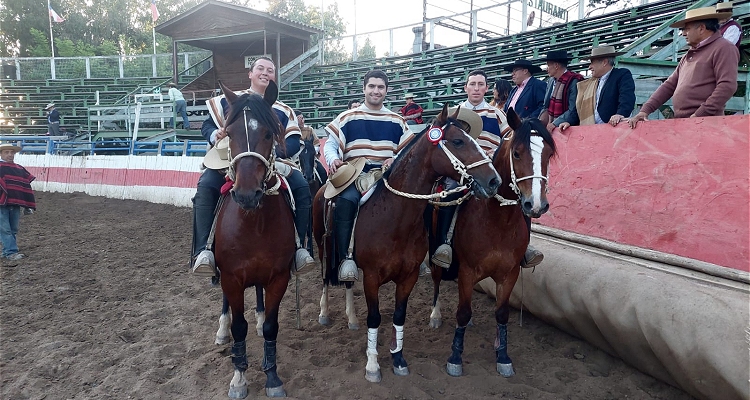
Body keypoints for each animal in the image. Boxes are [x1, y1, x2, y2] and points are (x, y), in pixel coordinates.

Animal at [210, 80, 298, 396]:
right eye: (229, 134)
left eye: (269, 133)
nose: (247, 194)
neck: (254, 222)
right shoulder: (231, 278)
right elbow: (239, 327)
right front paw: (239, 377)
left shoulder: (278, 277)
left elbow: (272, 326)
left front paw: (272, 376)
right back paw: (222, 330)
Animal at [314, 104, 502, 382]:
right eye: (458, 141)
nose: (494, 181)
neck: (394, 217)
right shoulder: (372, 277)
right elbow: (375, 318)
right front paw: (373, 365)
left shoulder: (408, 275)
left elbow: (399, 316)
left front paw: (398, 358)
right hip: (323, 247)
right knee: (326, 278)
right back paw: (324, 313)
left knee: (346, 280)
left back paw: (351, 318)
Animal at [426, 108, 556, 378]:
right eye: (517, 153)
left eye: (548, 154)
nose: (536, 205)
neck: (498, 222)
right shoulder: (466, 270)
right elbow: (462, 311)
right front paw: (455, 358)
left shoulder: (509, 274)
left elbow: (501, 313)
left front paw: (503, 356)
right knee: (436, 280)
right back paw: (435, 315)